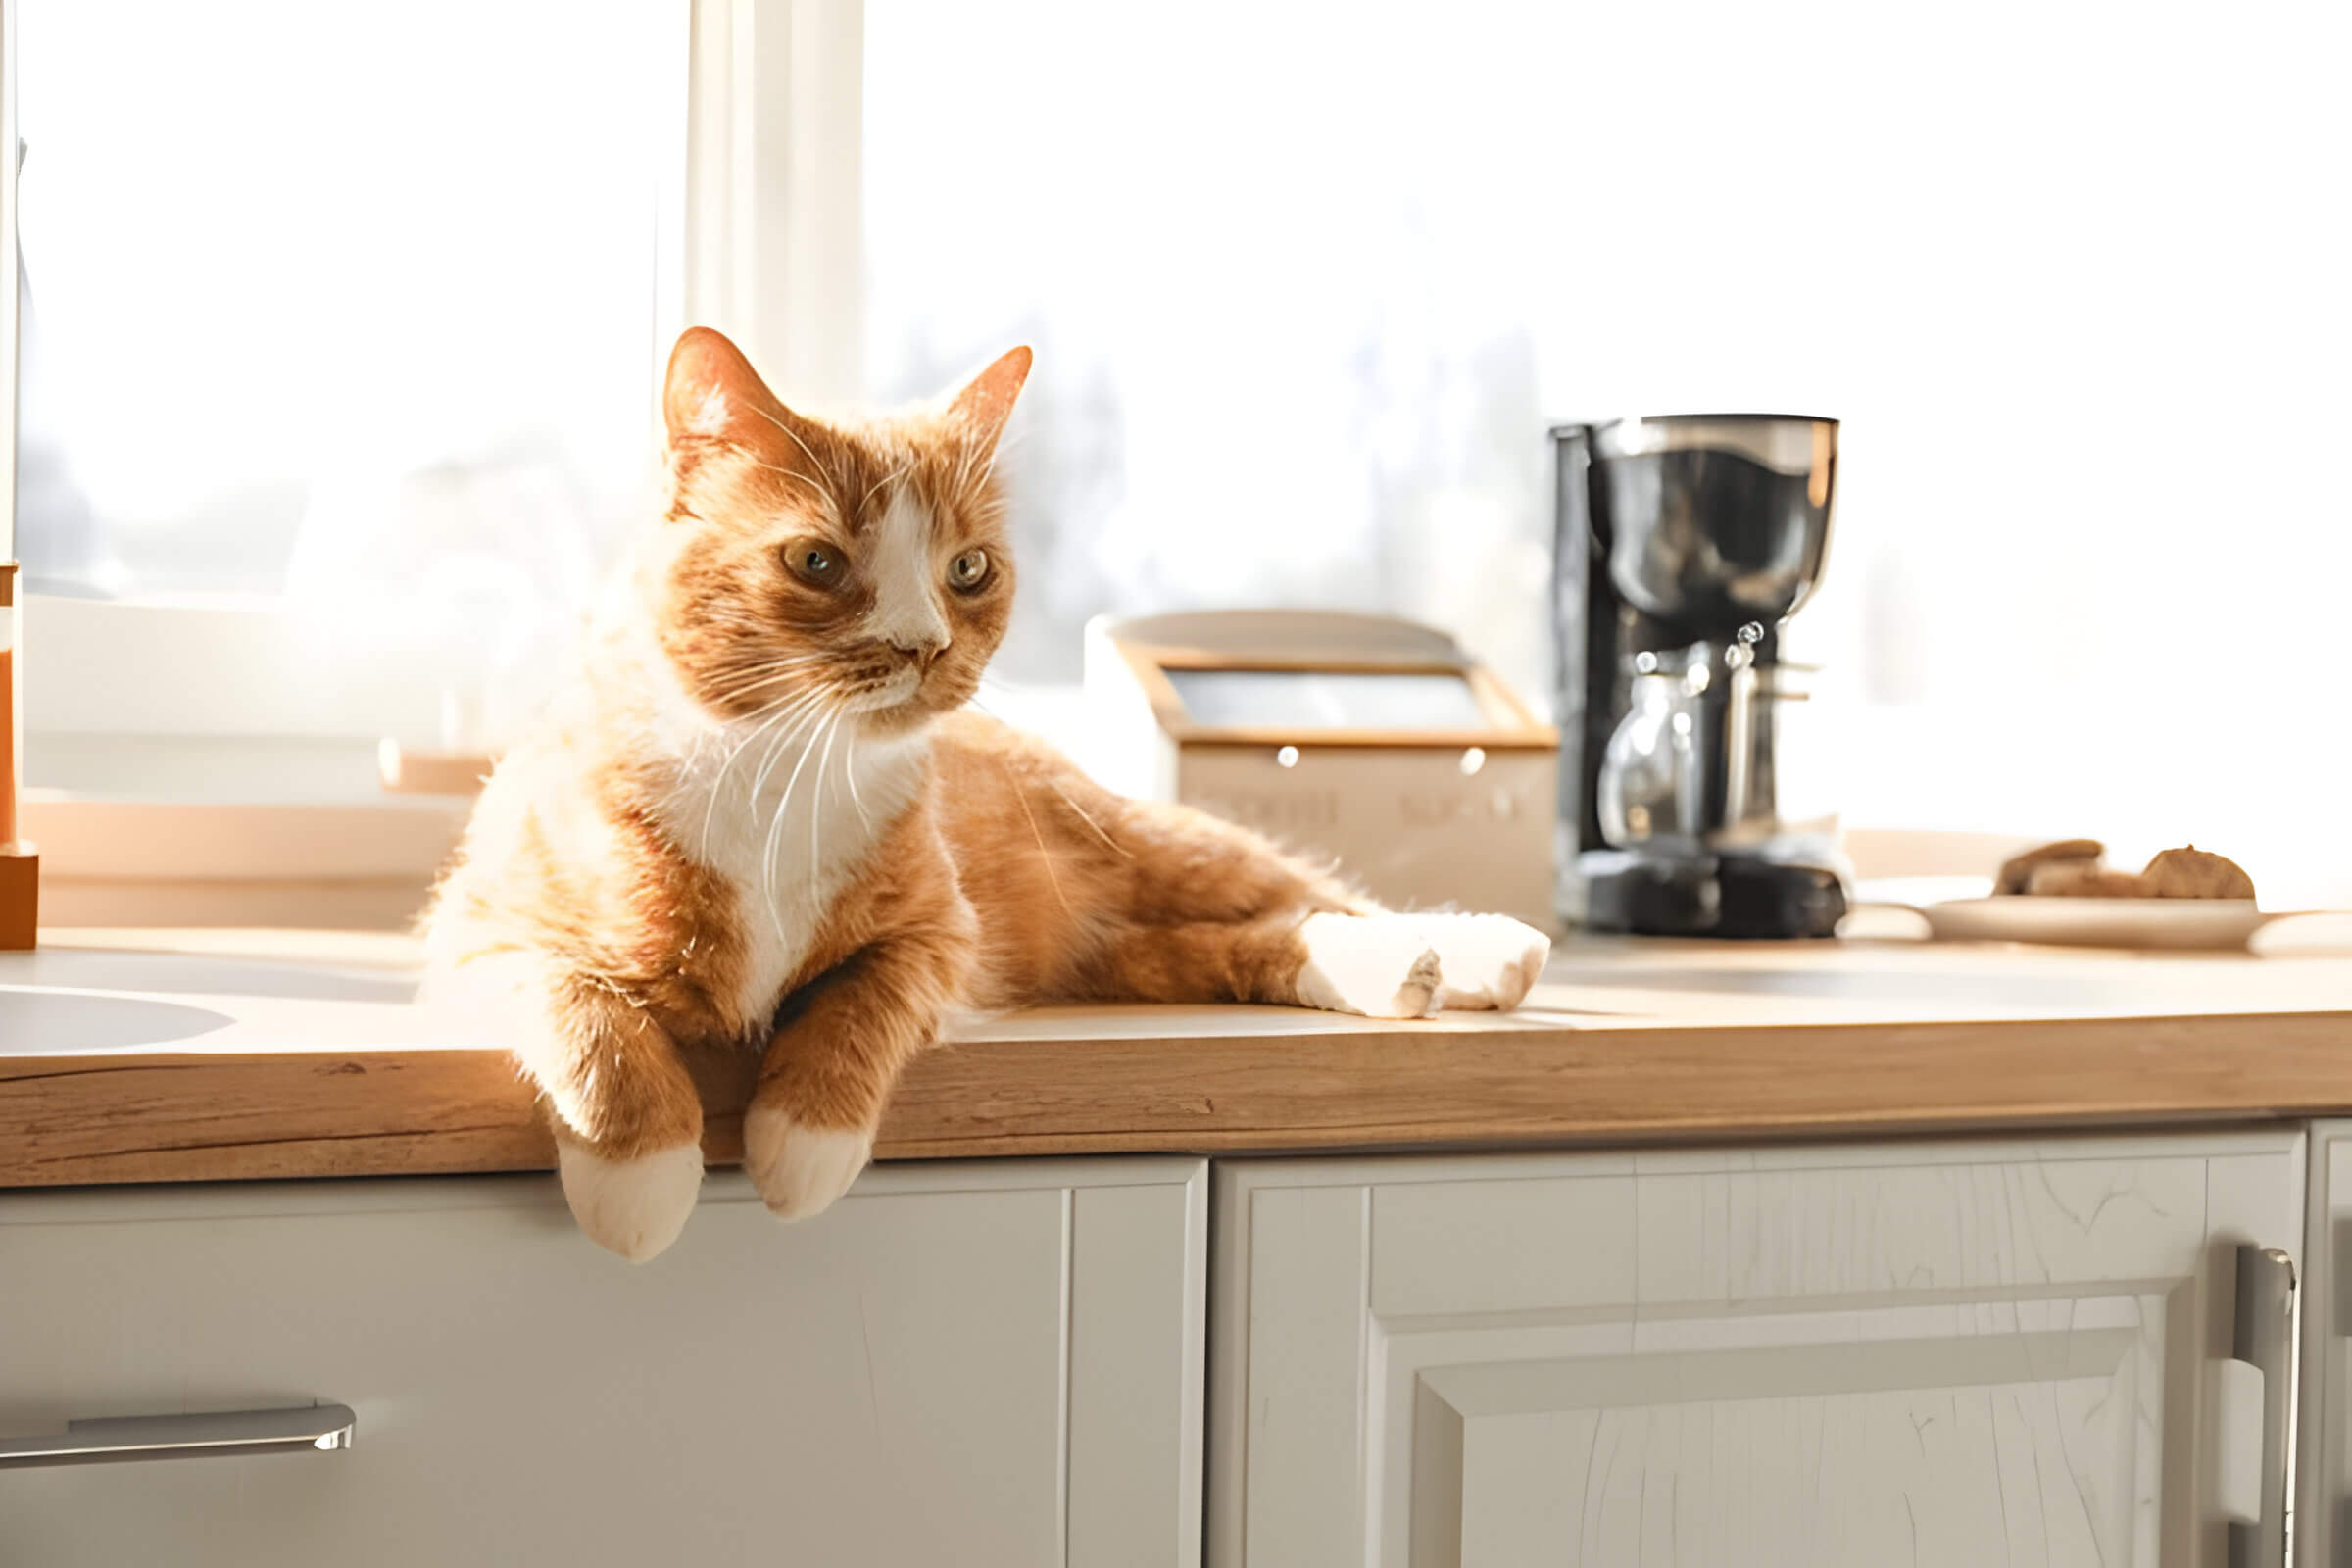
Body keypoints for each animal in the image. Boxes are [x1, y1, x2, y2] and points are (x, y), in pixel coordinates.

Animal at [423, 331, 1552, 1259]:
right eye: (816, 559)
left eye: (967, 569)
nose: (923, 644)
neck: (777, 774)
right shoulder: (477, 930)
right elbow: (589, 1019)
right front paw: (643, 1178)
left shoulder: (942, 934)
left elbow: (861, 1001)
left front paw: (801, 1142)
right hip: (1116, 951)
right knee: (1245, 941)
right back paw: (1401, 973)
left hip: (1153, 845)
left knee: (1314, 895)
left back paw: (1477, 951)